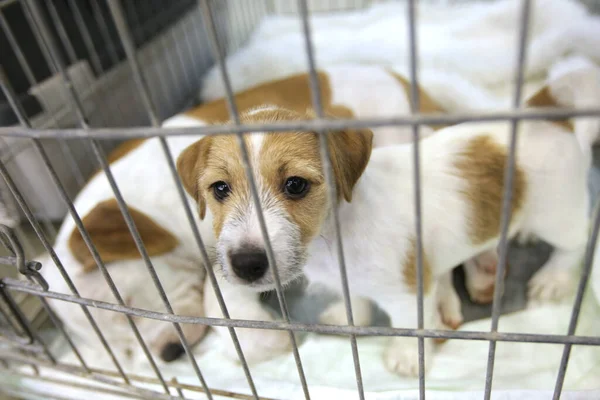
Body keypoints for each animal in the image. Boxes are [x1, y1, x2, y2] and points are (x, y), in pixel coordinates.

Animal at [177, 58, 600, 376]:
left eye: (295, 185)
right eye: (219, 189)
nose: (246, 264)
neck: (335, 235)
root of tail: (547, 114)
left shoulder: (408, 289)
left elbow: (413, 325)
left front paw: (407, 358)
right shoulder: (354, 282)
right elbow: (357, 301)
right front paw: (348, 317)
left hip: (558, 213)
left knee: (577, 240)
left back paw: (553, 278)